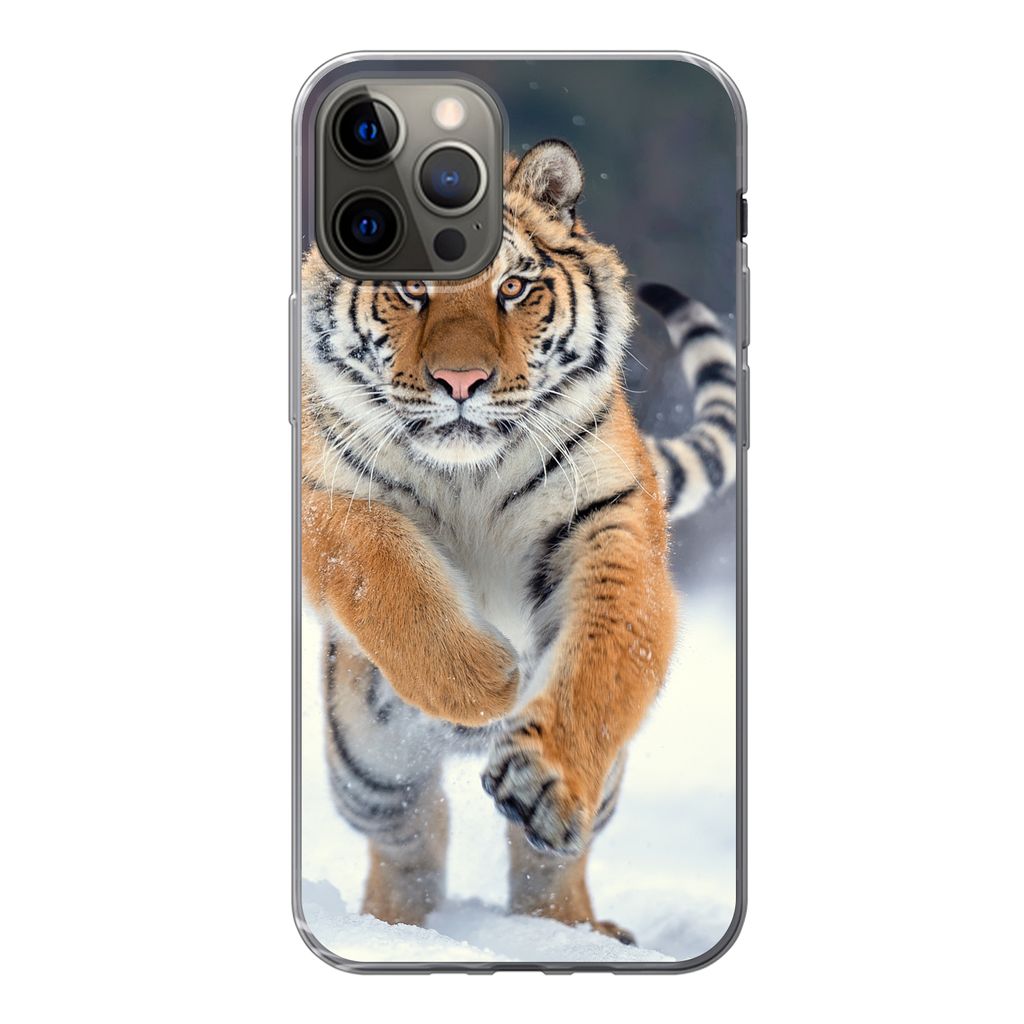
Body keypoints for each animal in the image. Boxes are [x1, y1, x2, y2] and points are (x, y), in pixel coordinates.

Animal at [300, 139, 737, 945]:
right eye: (411, 288)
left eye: (513, 287)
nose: (462, 381)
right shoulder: (324, 501)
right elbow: (384, 570)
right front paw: (488, 679)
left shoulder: (609, 520)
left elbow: (604, 659)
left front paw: (545, 776)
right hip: (367, 765)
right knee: (413, 832)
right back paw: (392, 928)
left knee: (547, 858)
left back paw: (572, 931)